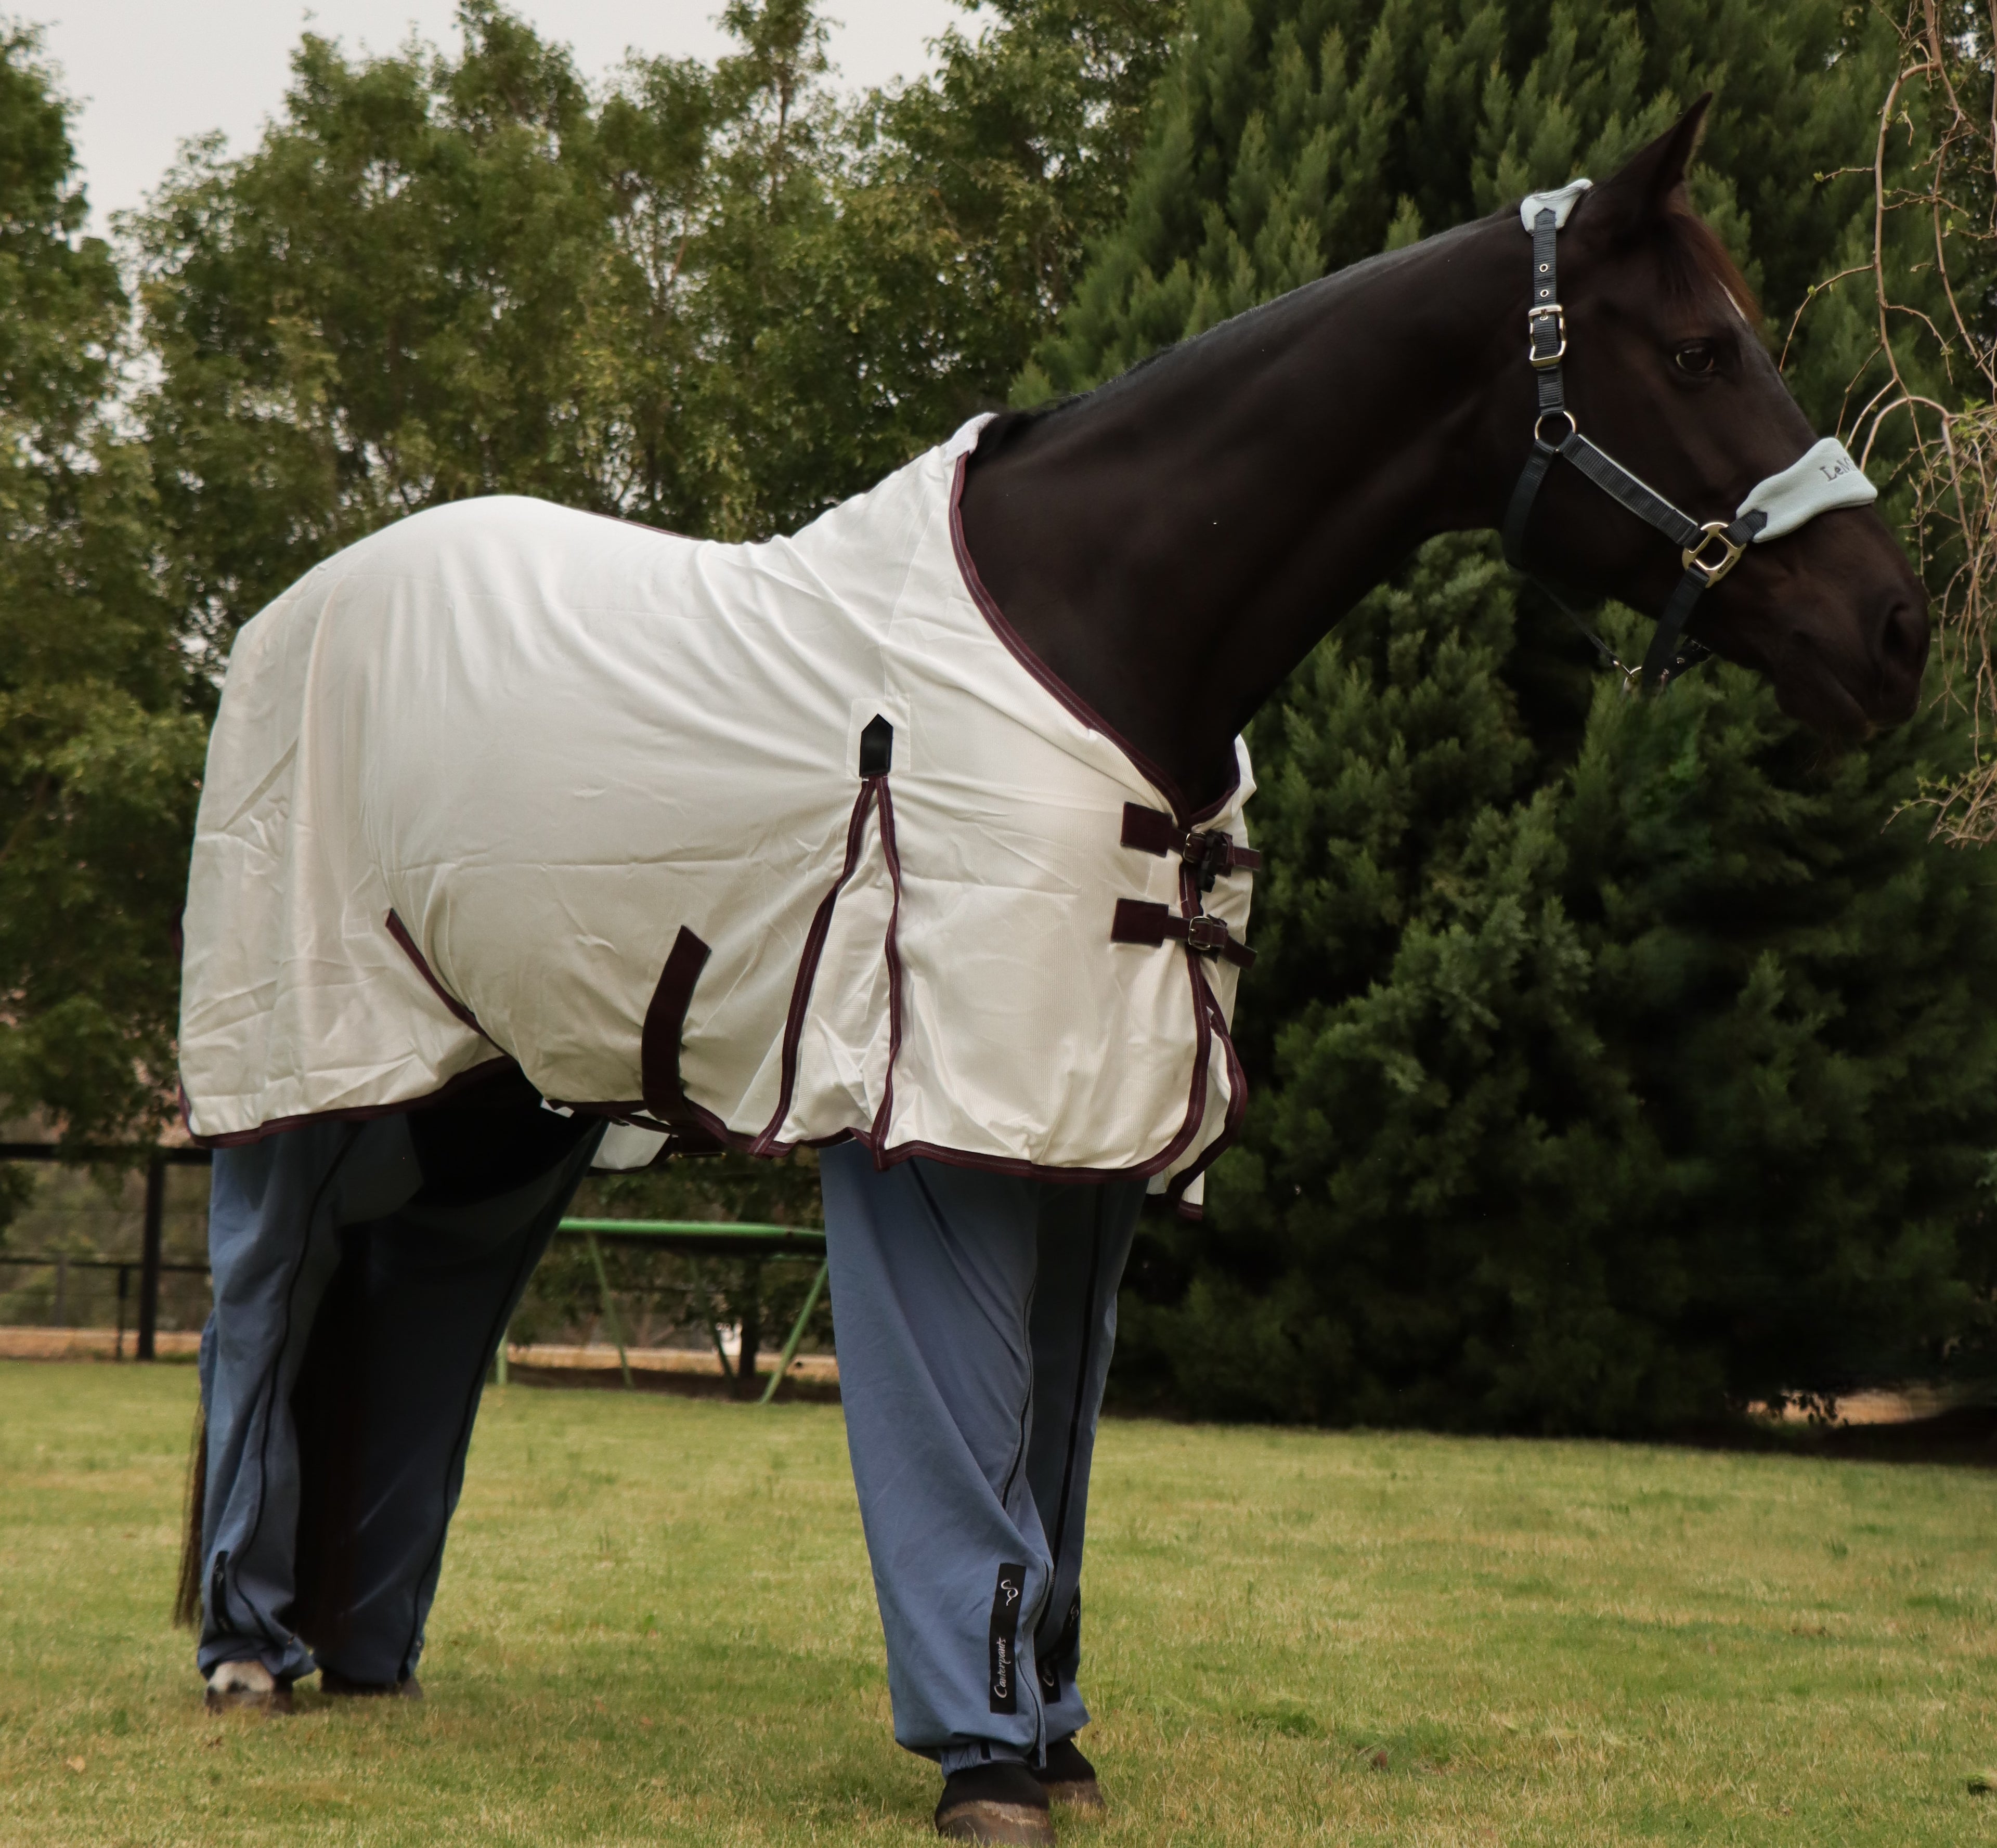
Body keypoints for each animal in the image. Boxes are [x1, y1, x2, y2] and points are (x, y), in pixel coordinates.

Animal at [176, 100, 1923, 1845]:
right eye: (1699, 352)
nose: (1895, 634)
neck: (1107, 622)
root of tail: (288, 611)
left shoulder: (1092, 1150)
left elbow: (1056, 1456)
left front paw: (1059, 1741)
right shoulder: (947, 1131)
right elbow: (968, 1441)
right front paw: (984, 1756)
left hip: (494, 1099)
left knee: (413, 1293)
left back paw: (362, 1658)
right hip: (308, 1063)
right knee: (270, 1293)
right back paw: (248, 1651)